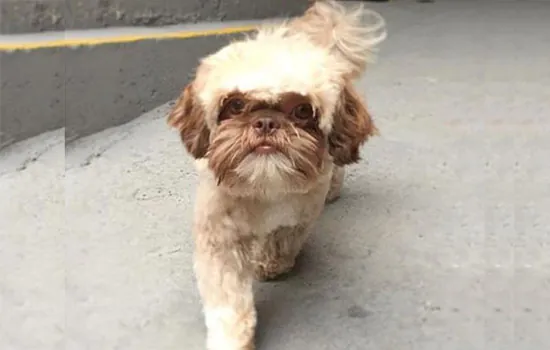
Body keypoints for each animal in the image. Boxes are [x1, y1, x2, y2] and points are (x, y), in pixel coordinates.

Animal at [168, 1, 388, 348]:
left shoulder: (295, 219)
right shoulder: (220, 238)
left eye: (303, 110)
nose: (267, 122)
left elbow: (280, 240)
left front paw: (272, 262)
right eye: (235, 104)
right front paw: (231, 338)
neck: (263, 188)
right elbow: (228, 300)